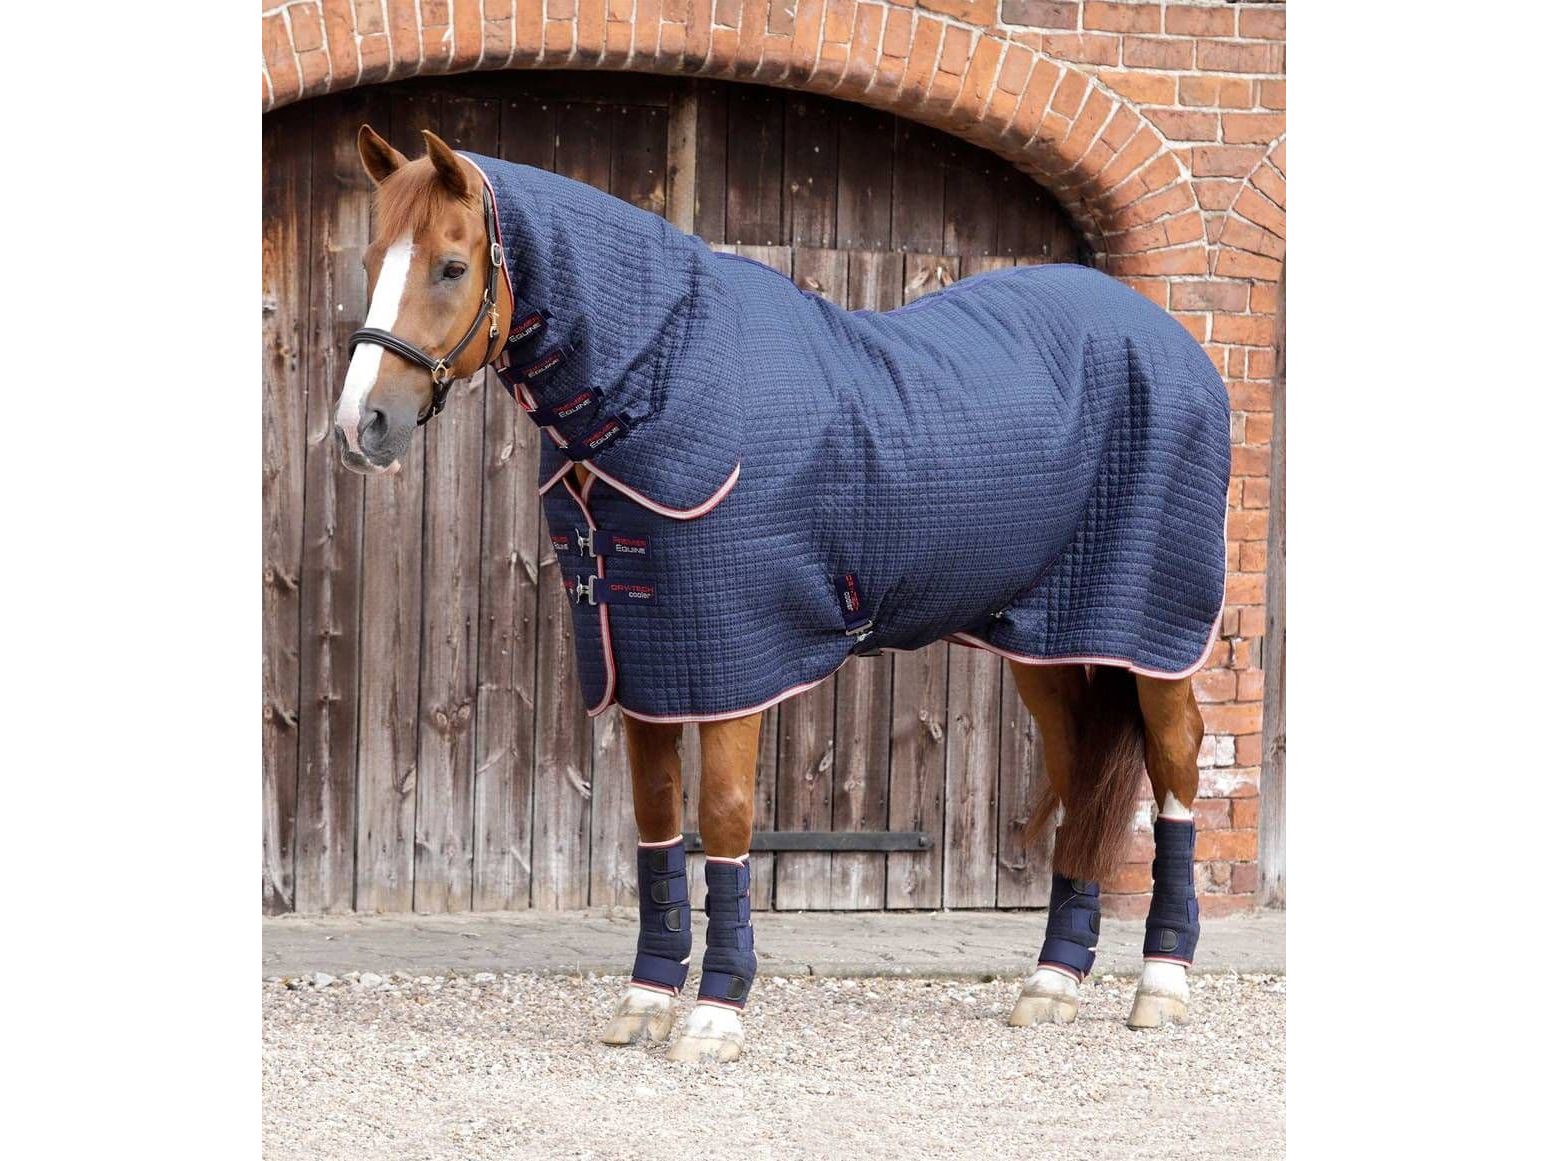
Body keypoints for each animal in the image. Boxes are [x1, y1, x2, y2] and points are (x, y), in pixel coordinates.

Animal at [333, 125, 1231, 1064]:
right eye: (371, 257)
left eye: (450, 265)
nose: (361, 426)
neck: (662, 383)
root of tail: (1171, 341)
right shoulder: (647, 657)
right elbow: (656, 820)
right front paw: (646, 998)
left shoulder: (734, 657)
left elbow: (726, 819)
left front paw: (715, 1011)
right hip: (1048, 642)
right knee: (1082, 770)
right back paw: (1052, 981)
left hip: (1153, 632)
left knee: (1176, 766)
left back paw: (1162, 982)